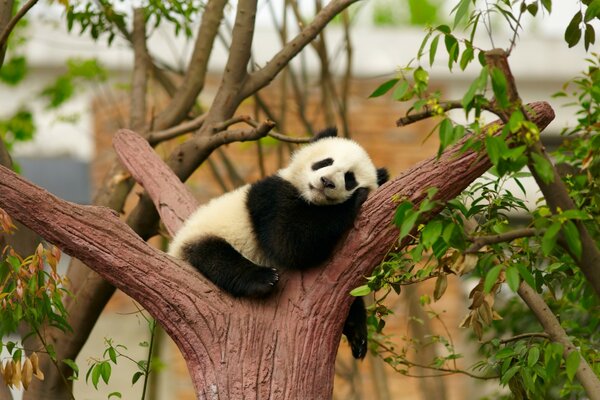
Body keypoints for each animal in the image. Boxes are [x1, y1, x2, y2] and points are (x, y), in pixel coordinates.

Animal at [169, 126, 390, 358]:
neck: (312, 200)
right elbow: (289, 242)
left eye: (349, 178)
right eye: (325, 162)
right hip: (205, 234)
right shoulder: (271, 197)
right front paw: (356, 199)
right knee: (216, 257)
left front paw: (357, 332)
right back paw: (263, 278)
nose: (327, 182)